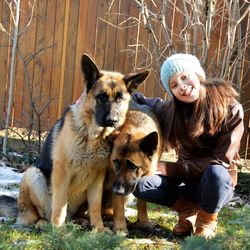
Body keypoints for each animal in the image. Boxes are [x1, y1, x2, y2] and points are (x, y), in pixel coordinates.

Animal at [15, 53, 149, 231]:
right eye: (101, 96)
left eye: (119, 99)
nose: (112, 120)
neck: (93, 138)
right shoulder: (61, 172)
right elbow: (59, 204)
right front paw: (57, 229)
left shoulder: (98, 179)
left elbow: (95, 206)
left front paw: (99, 228)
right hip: (33, 175)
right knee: (39, 214)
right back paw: (45, 223)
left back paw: (80, 222)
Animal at [108, 99, 163, 234]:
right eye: (115, 162)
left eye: (132, 166)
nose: (117, 191)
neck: (137, 124)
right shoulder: (113, 177)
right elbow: (118, 205)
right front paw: (120, 227)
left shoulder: (146, 175)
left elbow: (142, 202)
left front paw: (144, 221)